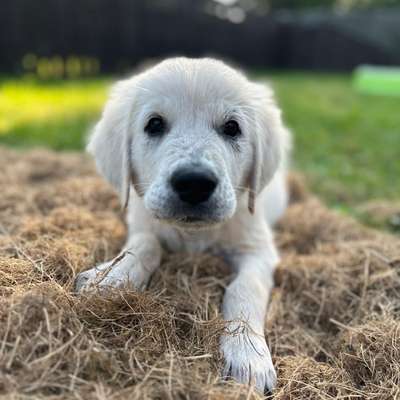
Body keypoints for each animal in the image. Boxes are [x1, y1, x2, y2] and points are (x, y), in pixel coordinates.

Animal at [75, 57, 290, 394]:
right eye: (154, 124)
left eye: (232, 127)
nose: (194, 183)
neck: (193, 233)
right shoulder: (142, 221)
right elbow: (145, 244)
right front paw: (111, 278)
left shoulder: (258, 247)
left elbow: (245, 288)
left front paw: (247, 356)